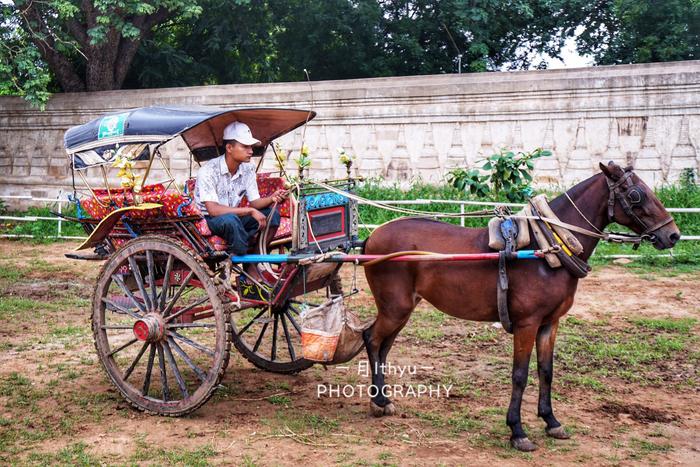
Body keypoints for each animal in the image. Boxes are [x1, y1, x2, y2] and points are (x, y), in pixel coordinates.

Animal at [364, 163, 680, 452]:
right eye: (636, 194)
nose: (673, 235)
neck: (547, 248)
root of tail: (372, 237)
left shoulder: (549, 323)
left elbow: (546, 371)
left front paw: (551, 421)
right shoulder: (527, 323)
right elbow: (520, 374)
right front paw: (517, 431)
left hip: (402, 309)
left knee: (384, 346)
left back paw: (384, 398)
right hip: (395, 308)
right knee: (372, 339)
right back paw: (378, 400)